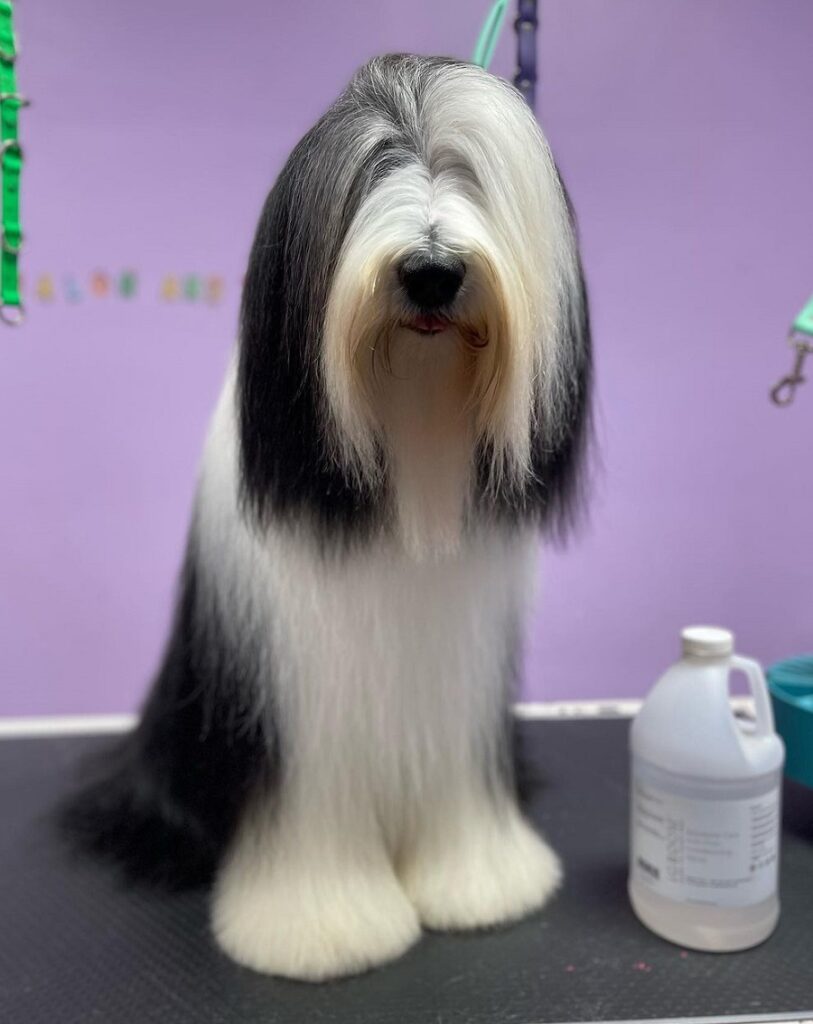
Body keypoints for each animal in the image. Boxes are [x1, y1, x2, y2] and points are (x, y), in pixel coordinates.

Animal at [63, 51, 593, 978]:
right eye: (374, 166)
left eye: (468, 173)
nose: (431, 270)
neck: (411, 418)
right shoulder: (298, 696)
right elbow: (310, 824)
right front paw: (320, 927)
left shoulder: (457, 681)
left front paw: (481, 882)